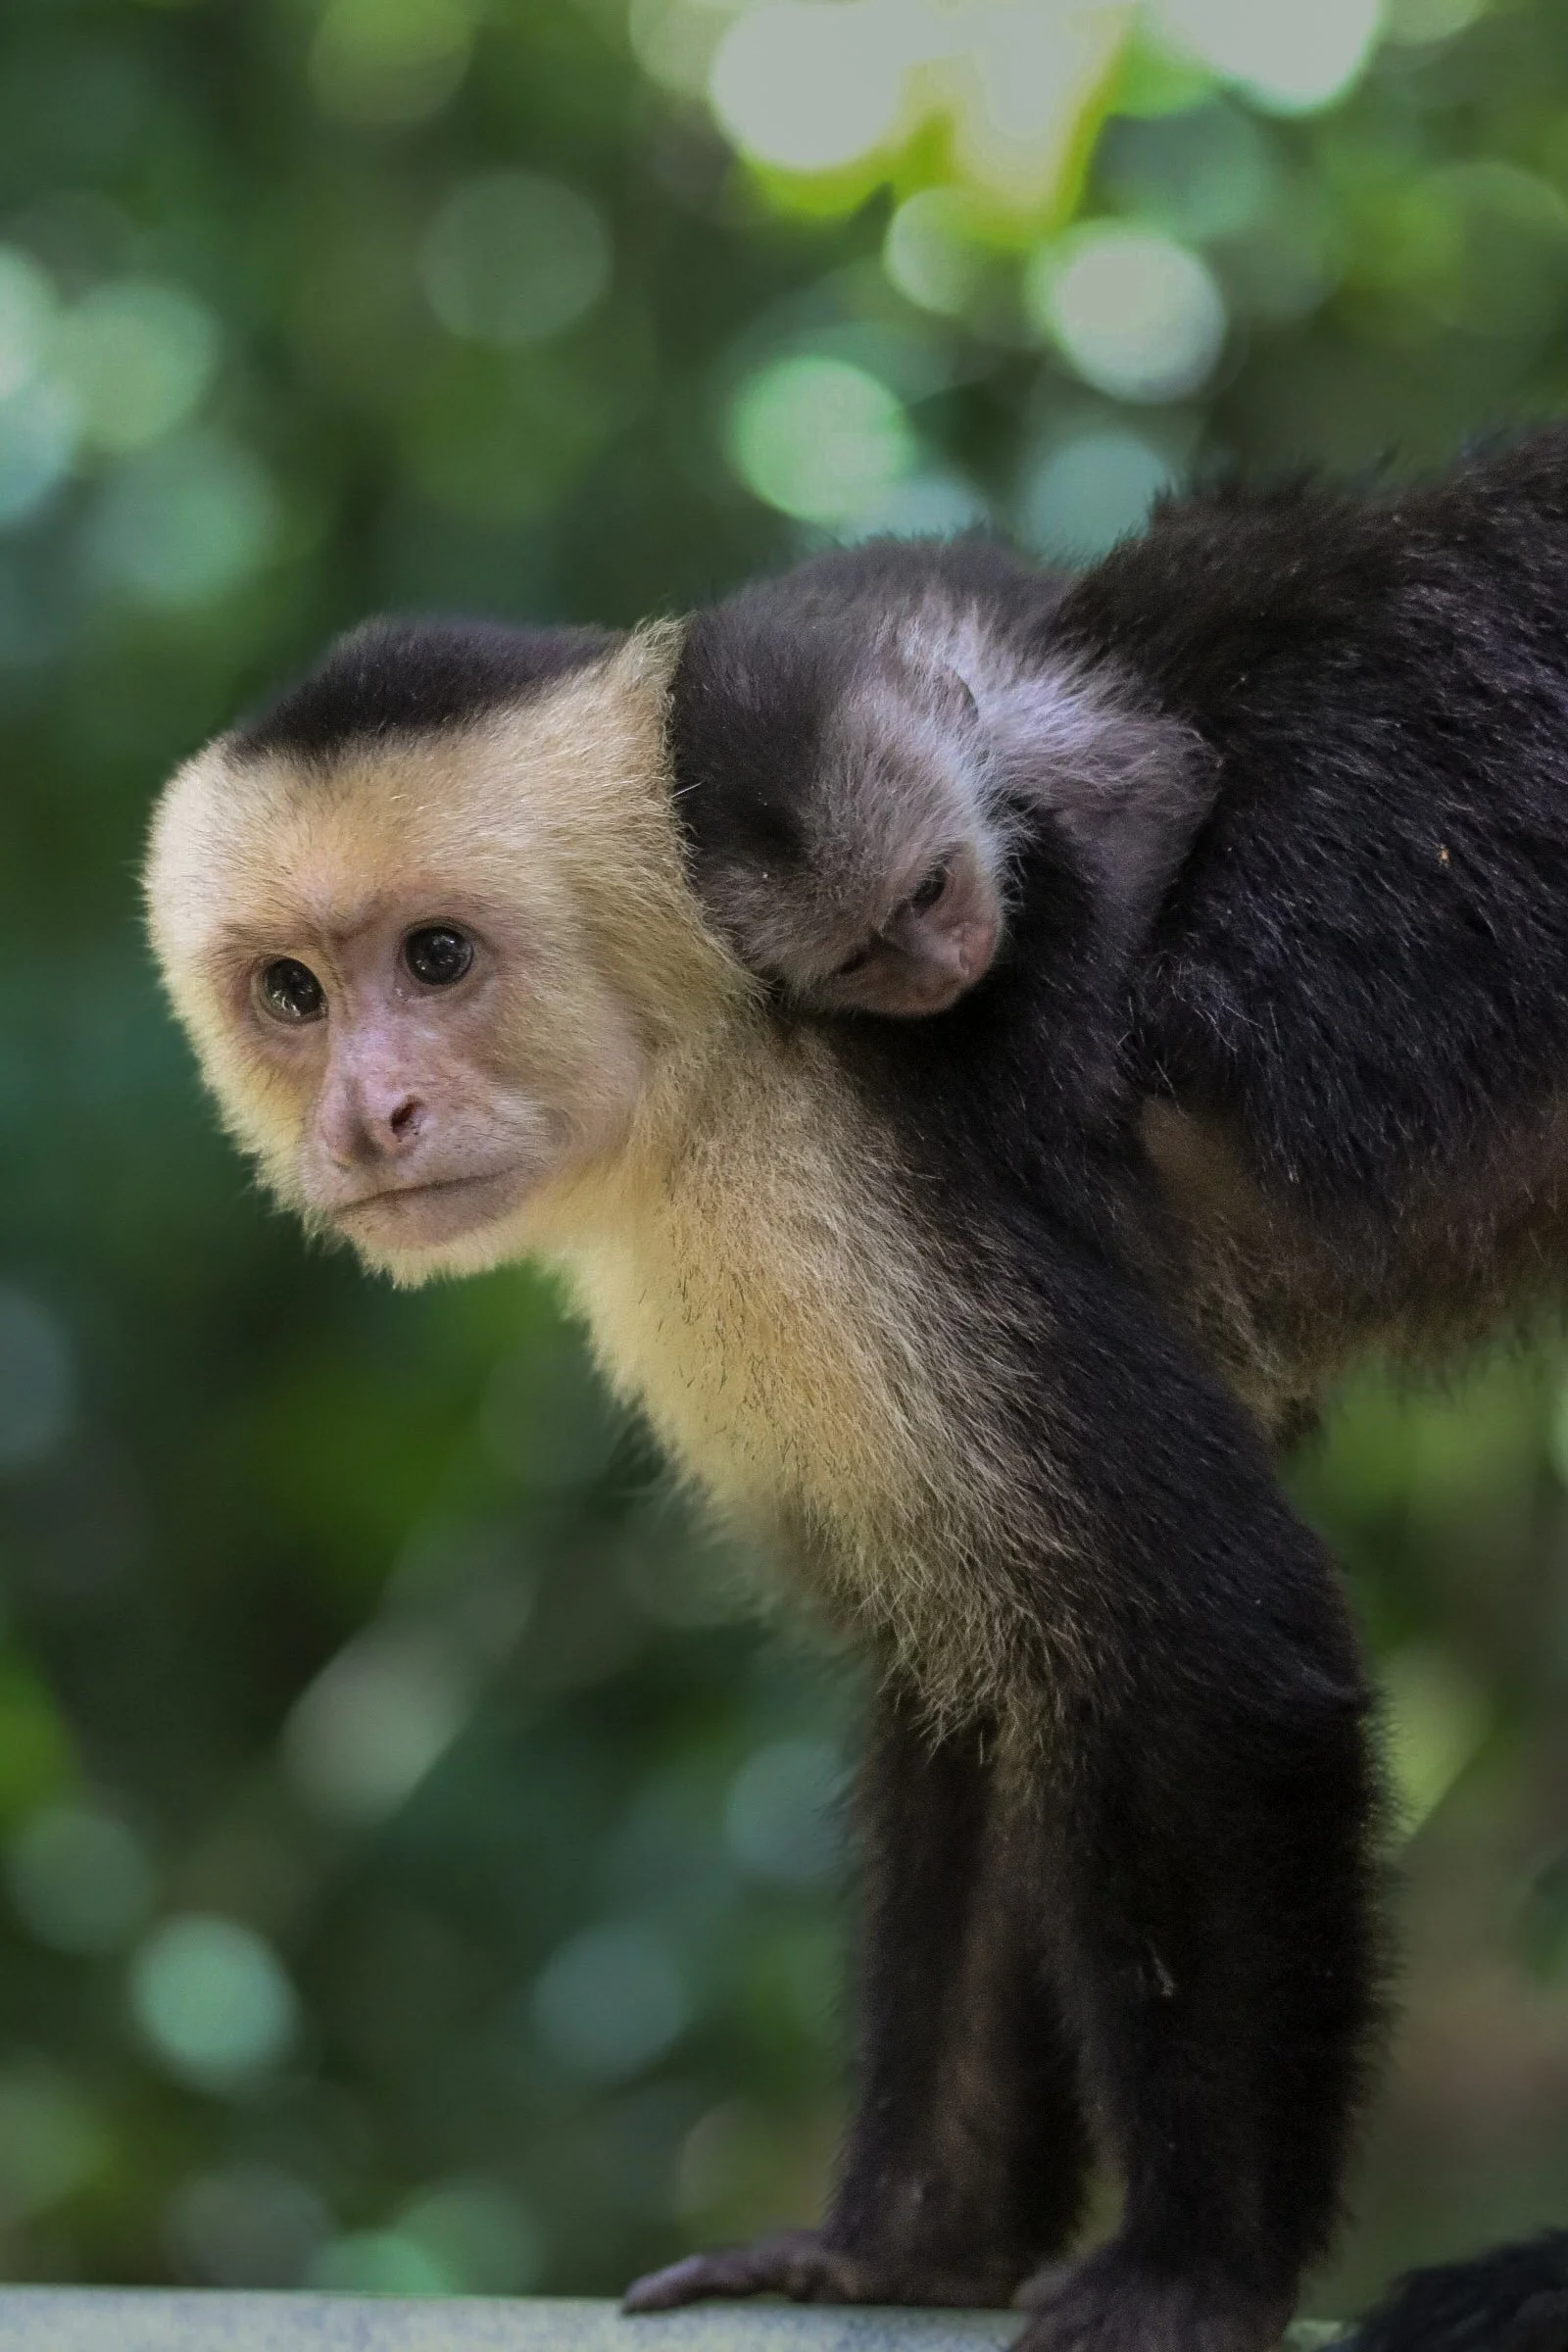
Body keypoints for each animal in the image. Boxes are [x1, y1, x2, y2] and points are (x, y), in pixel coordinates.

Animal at [140, 425, 1568, 2352]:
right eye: (290, 991)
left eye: (436, 958)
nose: (368, 1120)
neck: (704, 1042)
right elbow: (986, 1690)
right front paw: (905, 2244)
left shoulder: (821, 1174)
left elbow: (1202, 1659)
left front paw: (1197, 2268)